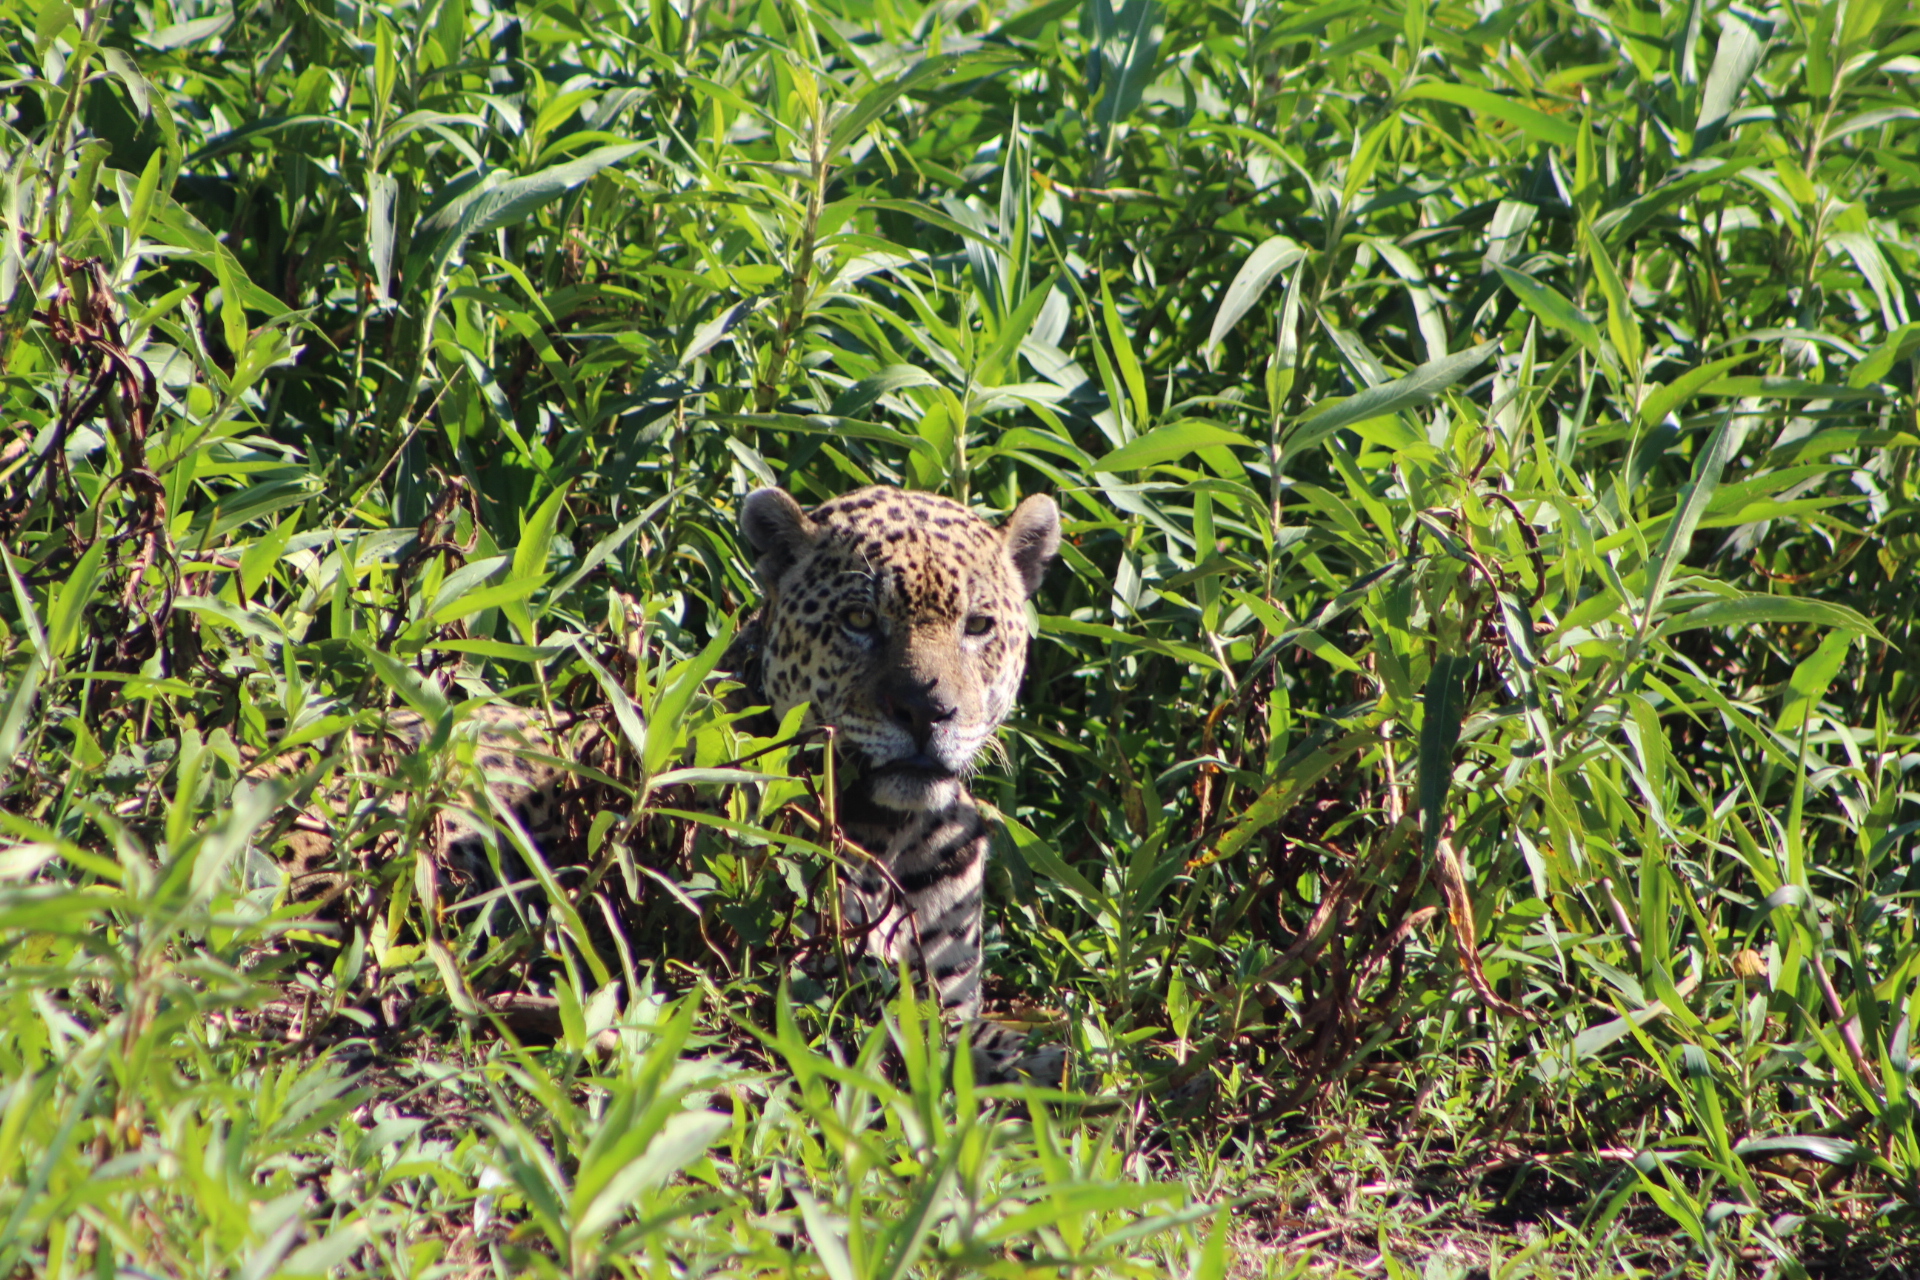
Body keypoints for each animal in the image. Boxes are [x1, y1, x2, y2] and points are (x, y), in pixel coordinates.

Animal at [733, 484, 1063, 1082]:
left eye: (976, 626)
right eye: (859, 619)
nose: (926, 710)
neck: (894, 836)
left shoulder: (948, 996)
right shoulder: (837, 985)